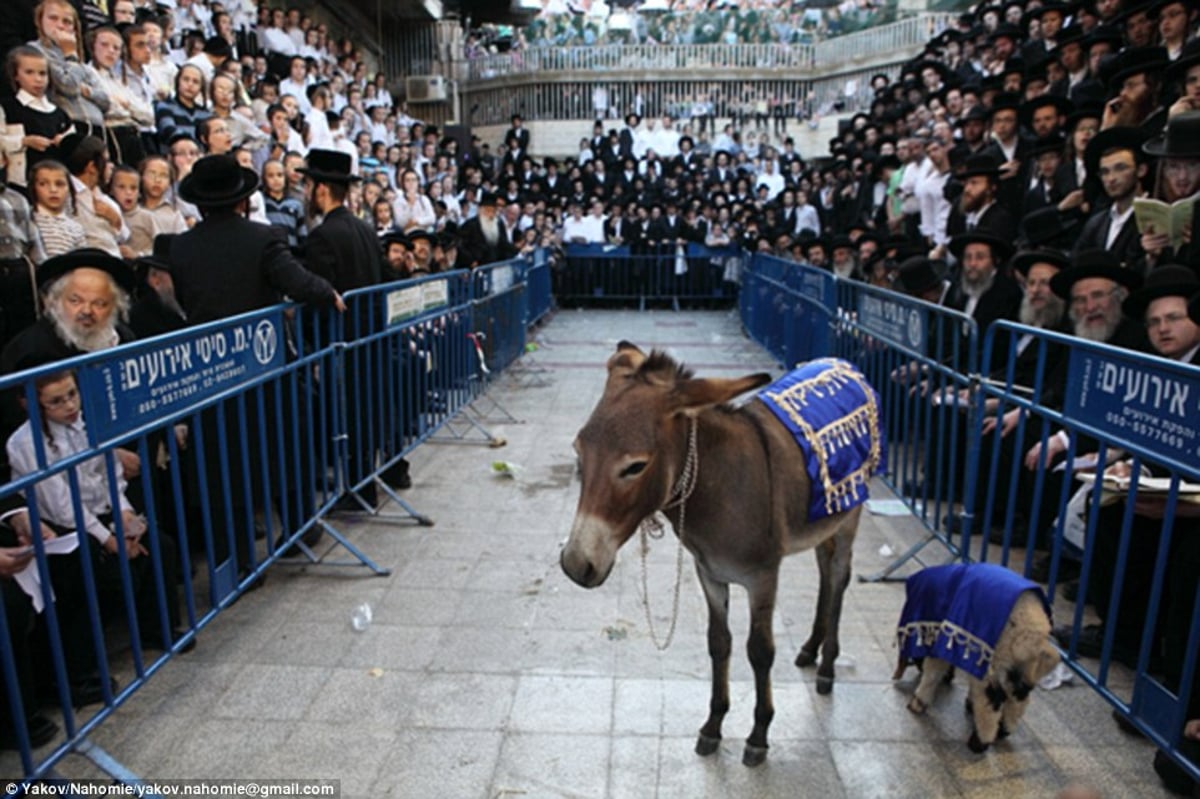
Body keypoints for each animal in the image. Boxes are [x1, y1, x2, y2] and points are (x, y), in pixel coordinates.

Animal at [892, 556, 1060, 748]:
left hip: (993, 661)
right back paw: (1004, 729)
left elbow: (933, 671)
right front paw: (968, 701)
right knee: (1019, 696)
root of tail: (1032, 630)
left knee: (991, 700)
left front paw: (919, 702)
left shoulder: (944, 637)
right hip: (1021, 666)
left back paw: (980, 741)